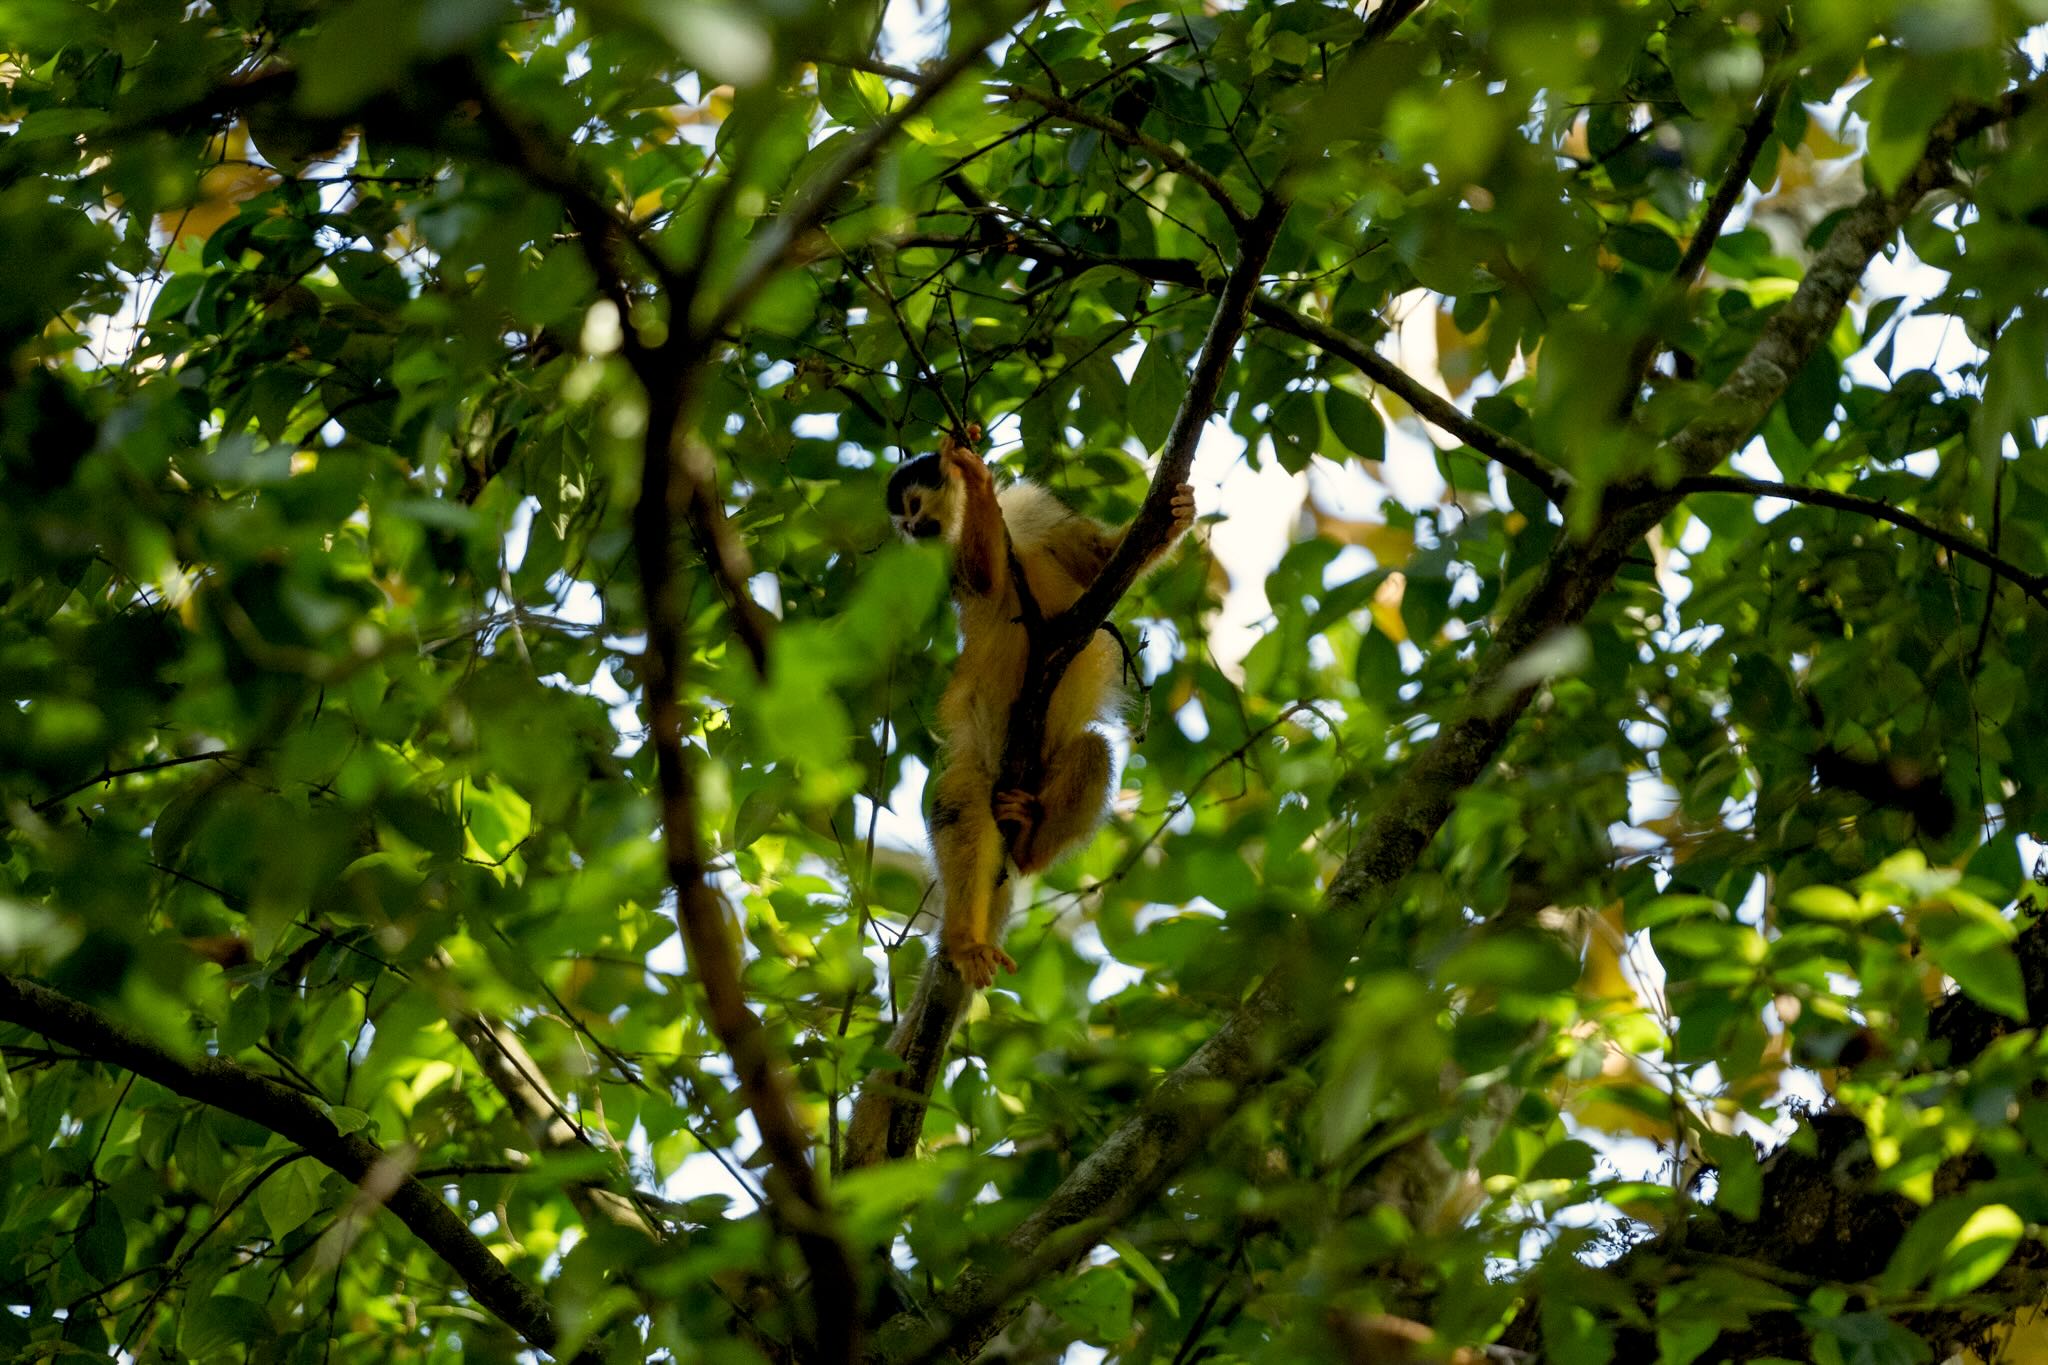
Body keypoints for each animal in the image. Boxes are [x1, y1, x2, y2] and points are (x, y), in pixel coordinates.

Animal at [884, 431, 1196, 986]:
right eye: (904, 525)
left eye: (915, 510)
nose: (915, 531)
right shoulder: (950, 564)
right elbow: (984, 582)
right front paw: (978, 485)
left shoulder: (1034, 504)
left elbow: (1099, 561)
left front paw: (1177, 516)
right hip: (983, 761)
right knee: (962, 805)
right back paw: (964, 941)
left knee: (1092, 751)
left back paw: (1029, 843)